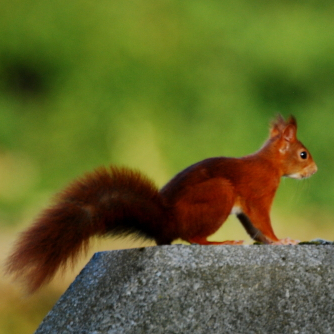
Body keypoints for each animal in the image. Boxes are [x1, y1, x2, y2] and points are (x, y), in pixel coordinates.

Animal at [6, 115, 318, 292]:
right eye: (303, 154)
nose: (315, 170)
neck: (269, 163)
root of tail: (168, 220)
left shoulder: (245, 209)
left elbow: (253, 227)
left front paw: (268, 242)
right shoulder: (258, 193)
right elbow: (263, 221)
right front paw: (280, 240)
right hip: (219, 194)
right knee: (193, 237)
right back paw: (221, 242)